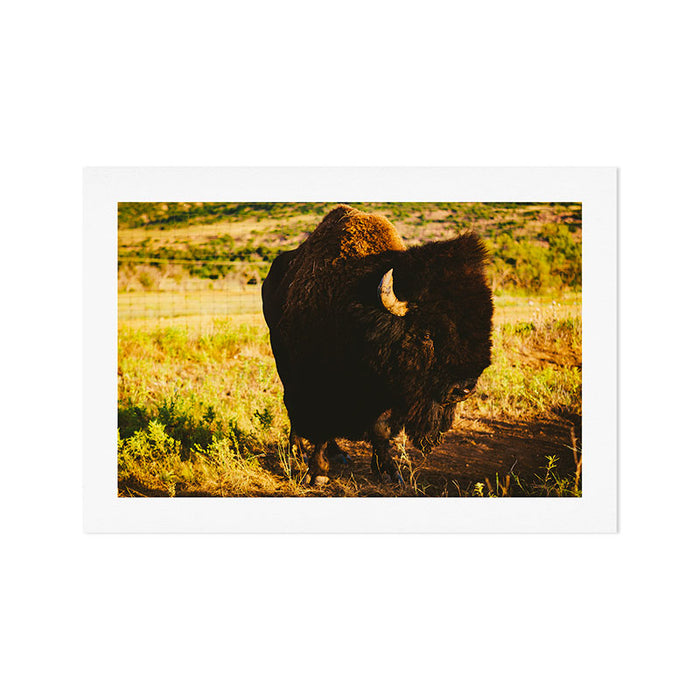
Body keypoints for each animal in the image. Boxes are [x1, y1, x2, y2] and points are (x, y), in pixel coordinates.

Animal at [262, 205, 493, 486]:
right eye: (426, 333)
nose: (464, 389)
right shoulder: (317, 384)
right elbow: (320, 425)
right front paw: (317, 473)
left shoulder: (387, 392)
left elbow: (380, 429)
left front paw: (390, 470)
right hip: (283, 362)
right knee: (293, 411)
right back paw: (297, 451)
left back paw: (338, 454)